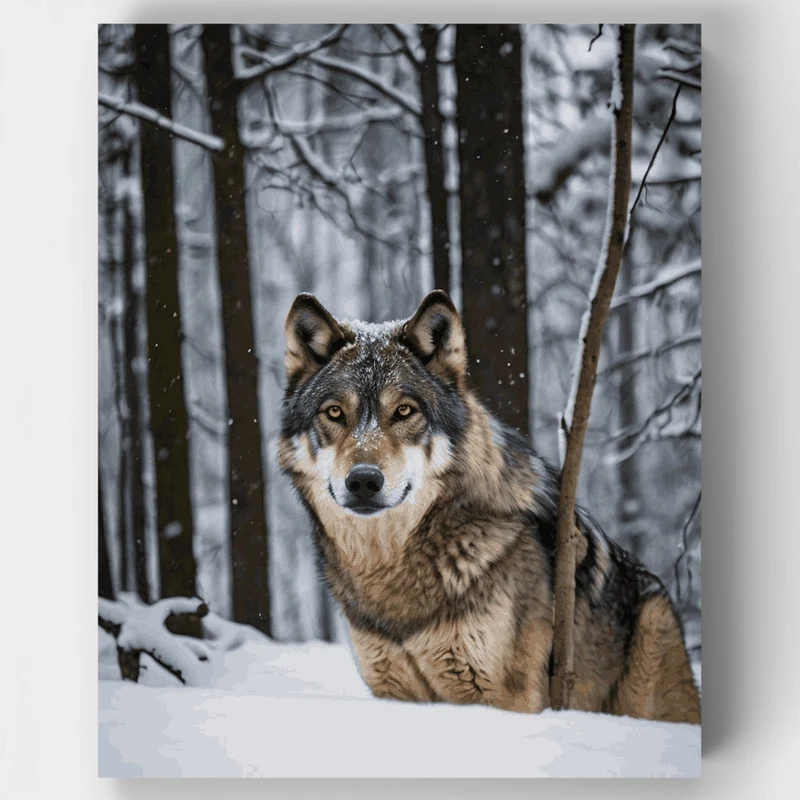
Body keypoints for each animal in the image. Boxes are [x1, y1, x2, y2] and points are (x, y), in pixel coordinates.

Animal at [278, 290, 701, 723]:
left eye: (404, 411)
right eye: (334, 412)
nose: (363, 481)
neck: (391, 571)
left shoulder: (506, 697)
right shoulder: (392, 689)